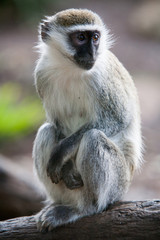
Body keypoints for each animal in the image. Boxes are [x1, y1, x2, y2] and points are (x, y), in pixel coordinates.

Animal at [32, 8, 142, 232]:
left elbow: (119, 119)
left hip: (118, 185)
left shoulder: (104, 80)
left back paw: (85, 208)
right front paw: (65, 166)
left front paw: (62, 152)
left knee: (93, 137)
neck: (69, 67)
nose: (92, 53)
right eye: (81, 38)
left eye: (96, 38)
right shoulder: (42, 74)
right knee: (47, 130)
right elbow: (57, 124)